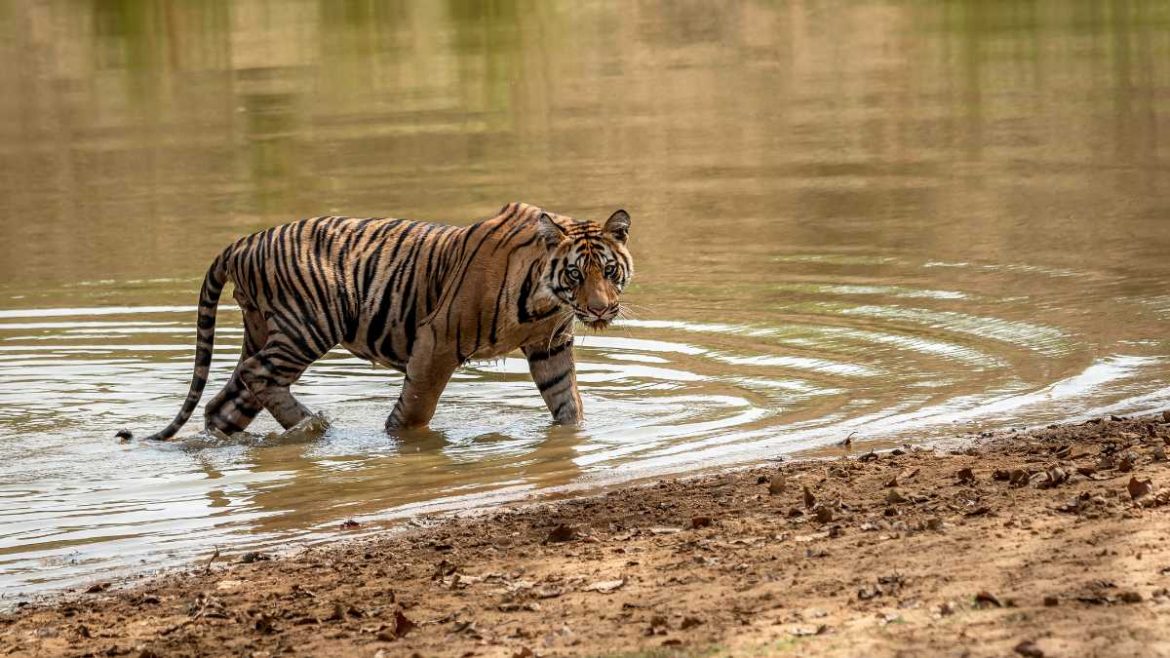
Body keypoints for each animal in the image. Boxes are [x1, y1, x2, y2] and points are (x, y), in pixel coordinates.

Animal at [116, 202, 633, 441]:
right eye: (575, 273)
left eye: (609, 271)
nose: (601, 309)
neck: (547, 301)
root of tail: (242, 242)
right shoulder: (436, 342)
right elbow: (417, 406)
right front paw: (398, 436)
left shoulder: (550, 346)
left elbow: (567, 402)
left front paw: (571, 434)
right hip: (307, 326)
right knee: (254, 373)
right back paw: (313, 426)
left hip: (263, 329)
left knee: (225, 402)